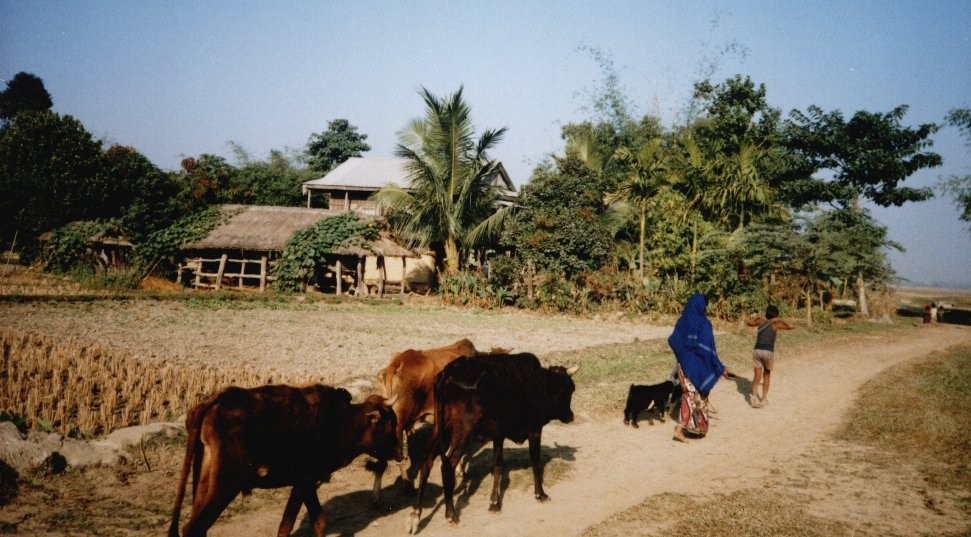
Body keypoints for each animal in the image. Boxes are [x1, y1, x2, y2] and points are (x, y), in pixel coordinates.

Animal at [171, 384, 402, 536]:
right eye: (390, 422)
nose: (401, 452)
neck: (339, 423)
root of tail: (214, 401)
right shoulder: (303, 481)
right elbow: (286, 527)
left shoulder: (308, 483)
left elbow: (320, 521)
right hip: (225, 485)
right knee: (194, 528)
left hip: (204, 483)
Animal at [404, 352, 576, 532]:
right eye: (568, 389)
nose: (571, 416)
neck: (539, 384)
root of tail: (448, 372)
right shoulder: (534, 430)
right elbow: (535, 463)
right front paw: (540, 494)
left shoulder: (498, 434)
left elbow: (497, 466)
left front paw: (494, 502)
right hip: (461, 432)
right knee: (447, 466)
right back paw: (450, 514)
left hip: (440, 428)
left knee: (426, 462)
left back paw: (416, 514)